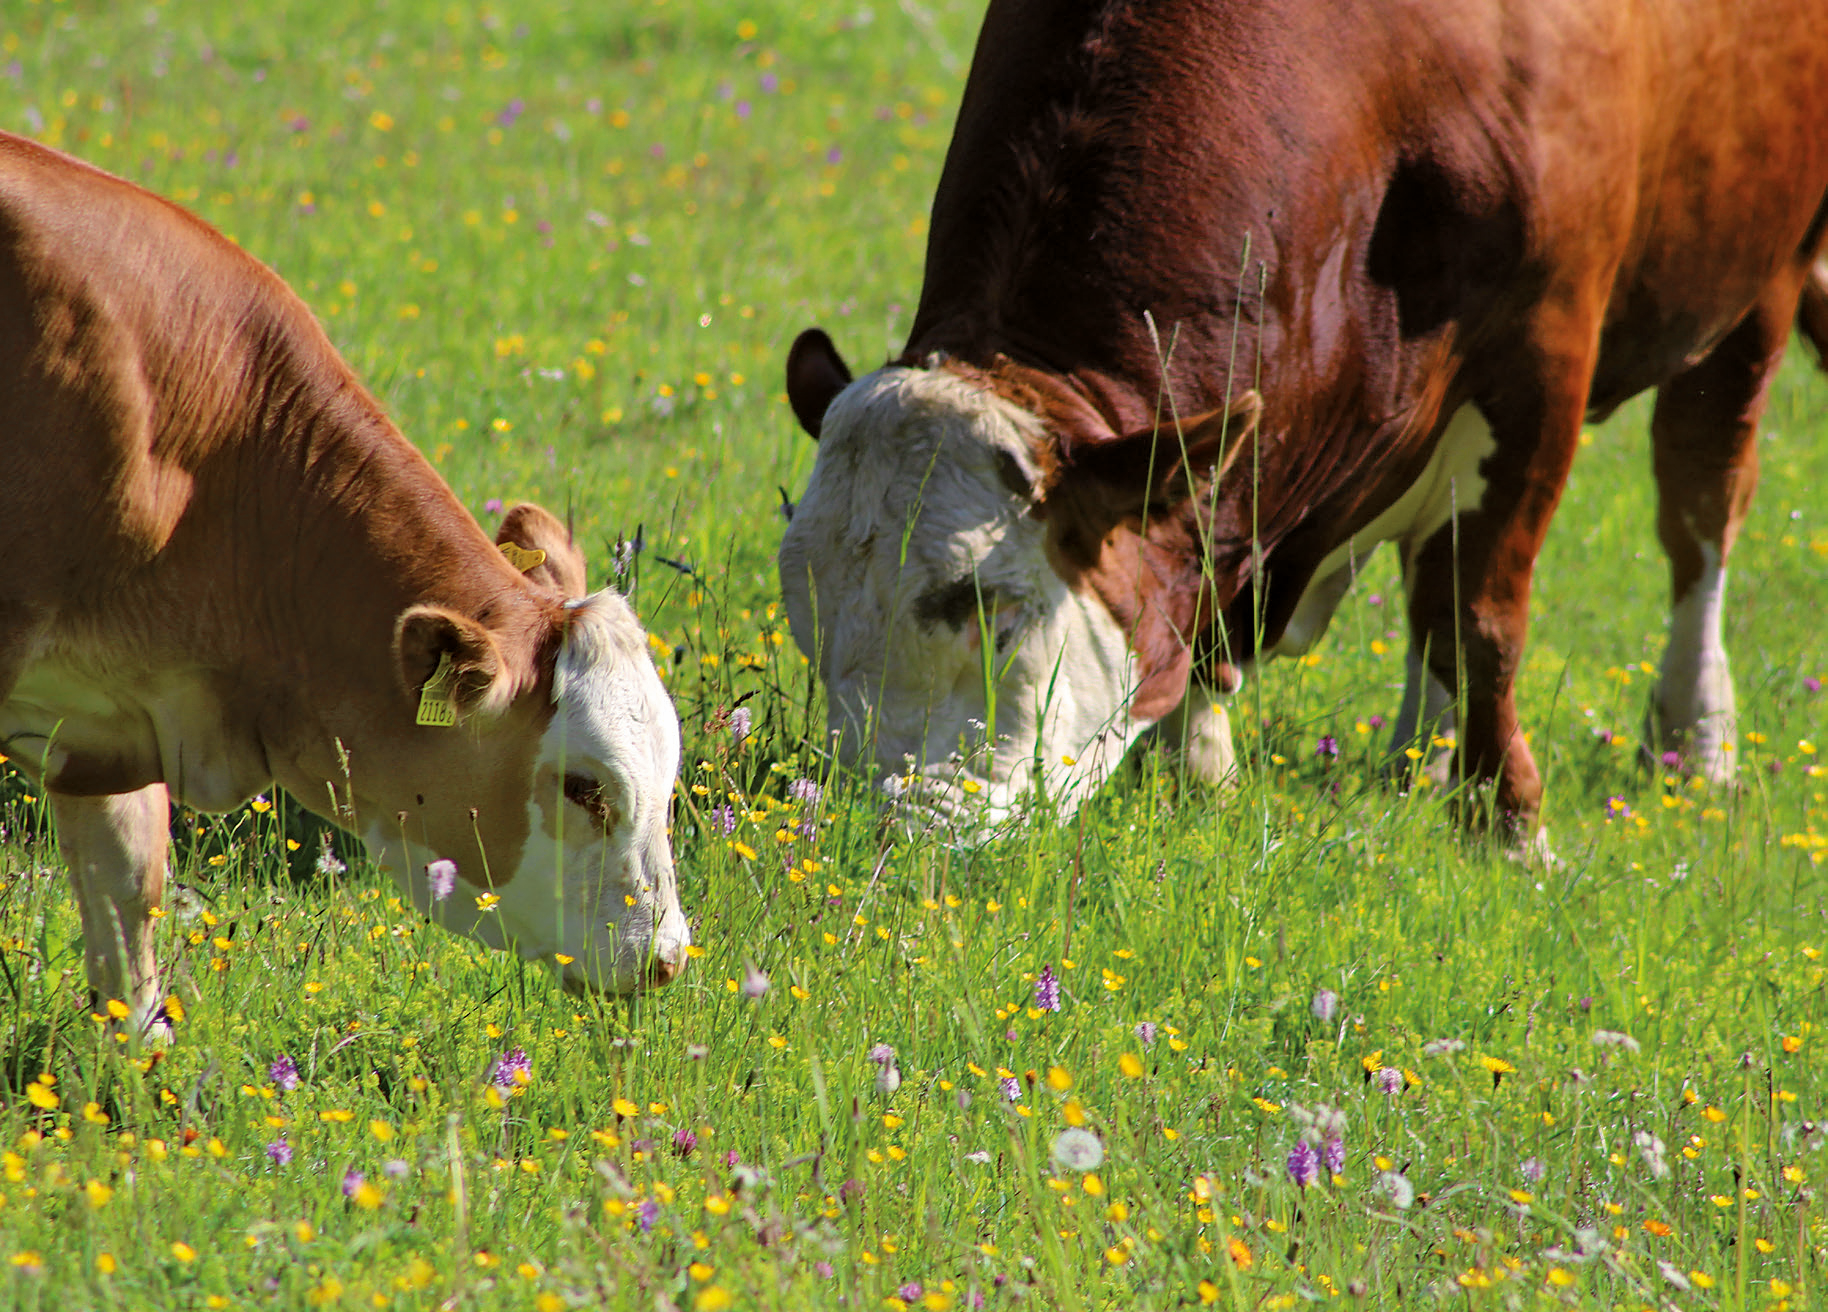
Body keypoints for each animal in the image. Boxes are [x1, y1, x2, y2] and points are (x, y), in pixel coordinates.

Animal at [779, 0, 1828, 851]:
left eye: (990, 606)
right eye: (805, 610)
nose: (879, 827)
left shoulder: (1546, 354)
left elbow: (1482, 615)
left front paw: (1508, 828)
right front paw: (1200, 777)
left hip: (1757, 282)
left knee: (1700, 510)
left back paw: (1696, 737)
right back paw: (1419, 754)